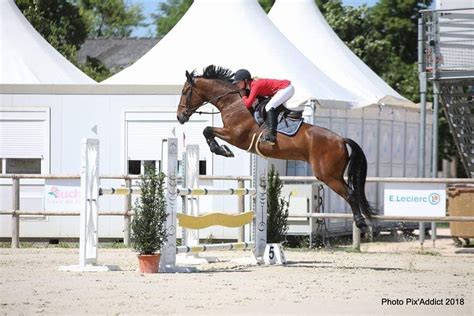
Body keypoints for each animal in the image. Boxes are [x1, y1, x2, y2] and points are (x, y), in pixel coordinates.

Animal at [176, 65, 376, 231]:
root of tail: (341, 139)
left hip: (328, 175)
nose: (180, 117)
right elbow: (207, 131)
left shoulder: (234, 135)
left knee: (351, 195)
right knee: (353, 192)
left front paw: (222, 150)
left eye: (185, 91)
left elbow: (207, 130)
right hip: (334, 174)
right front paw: (221, 149)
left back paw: (362, 225)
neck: (234, 102)